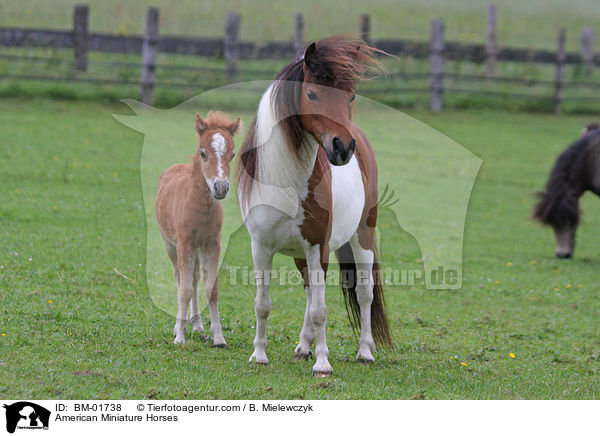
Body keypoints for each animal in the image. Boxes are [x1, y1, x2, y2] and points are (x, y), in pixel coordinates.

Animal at [156, 110, 240, 346]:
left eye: (232, 155)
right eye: (203, 153)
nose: (220, 188)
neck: (200, 207)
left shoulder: (212, 244)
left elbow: (211, 289)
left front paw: (218, 337)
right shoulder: (185, 244)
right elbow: (183, 290)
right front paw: (180, 337)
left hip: (198, 250)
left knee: (194, 279)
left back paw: (197, 323)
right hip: (171, 246)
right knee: (180, 278)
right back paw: (180, 325)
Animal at [239, 37, 394, 376]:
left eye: (350, 96)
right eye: (311, 93)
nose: (342, 147)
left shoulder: (317, 247)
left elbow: (322, 310)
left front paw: (323, 363)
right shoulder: (261, 248)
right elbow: (263, 303)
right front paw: (259, 354)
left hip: (361, 238)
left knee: (364, 293)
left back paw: (364, 351)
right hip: (301, 255)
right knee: (310, 293)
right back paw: (303, 347)